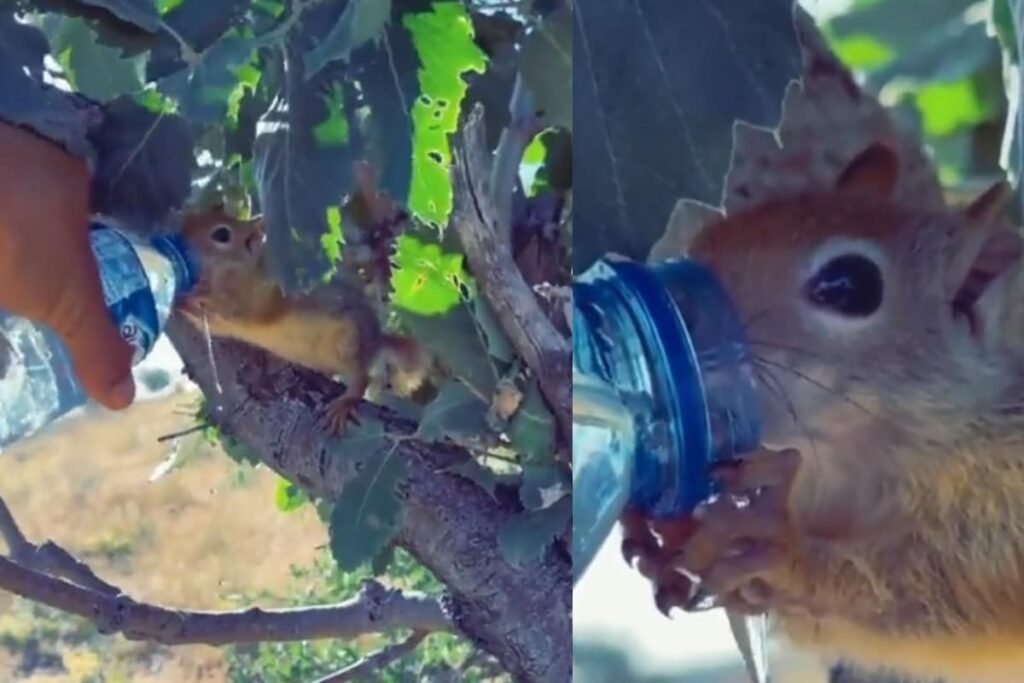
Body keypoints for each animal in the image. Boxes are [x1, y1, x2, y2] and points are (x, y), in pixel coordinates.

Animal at [175, 204, 429, 436]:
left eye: (221, 234)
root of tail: (375, 342)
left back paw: (346, 403)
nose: (179, 241)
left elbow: (240, 310)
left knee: (360, 377)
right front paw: (182, 300)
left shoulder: (265, 294)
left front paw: (195, 295)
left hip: (350, 343)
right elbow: (213, 325)